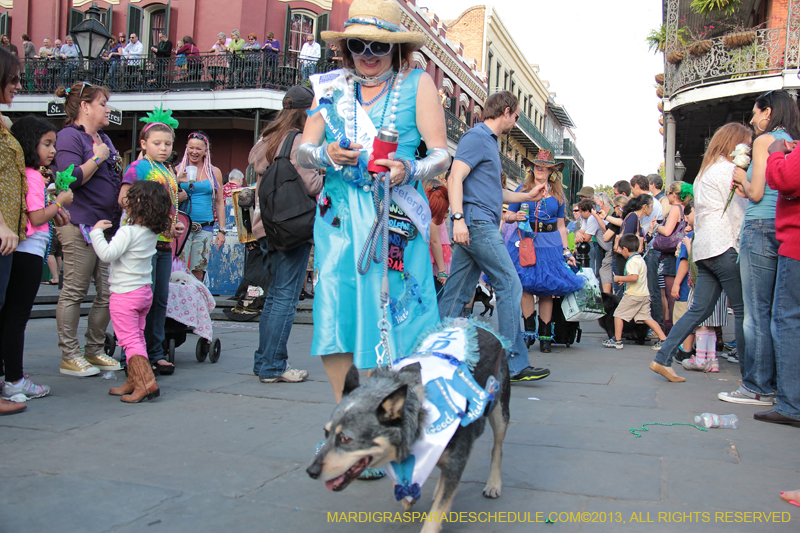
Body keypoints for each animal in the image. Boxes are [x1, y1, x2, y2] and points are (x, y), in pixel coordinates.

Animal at [306, 326, 506, 528]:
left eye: (346, 439)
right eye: (326, 433)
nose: (311, 471)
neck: (420, 416)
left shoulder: (456, 460)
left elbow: (436, 514)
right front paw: (409, 496)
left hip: (500, 411)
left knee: (497, 448)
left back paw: (493, 484)